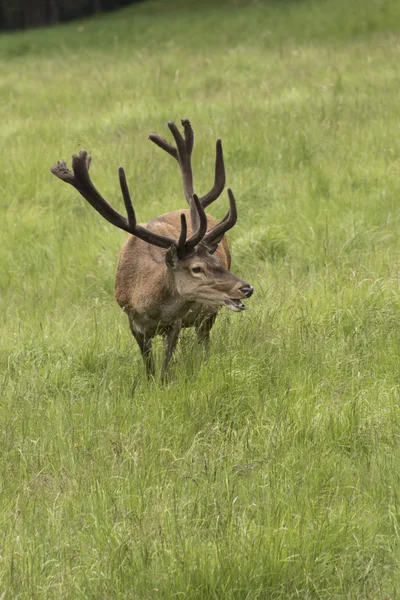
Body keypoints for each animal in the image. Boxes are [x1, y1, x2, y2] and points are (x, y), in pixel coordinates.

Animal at [51, 118, 253, 380]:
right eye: (196, 268)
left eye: (217, 262)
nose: (246, 288)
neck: (150, 305)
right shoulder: (134, 324)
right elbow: (149, 368)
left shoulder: (175, 324)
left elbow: (165, 368)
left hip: (209, 314)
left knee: (204, 341)